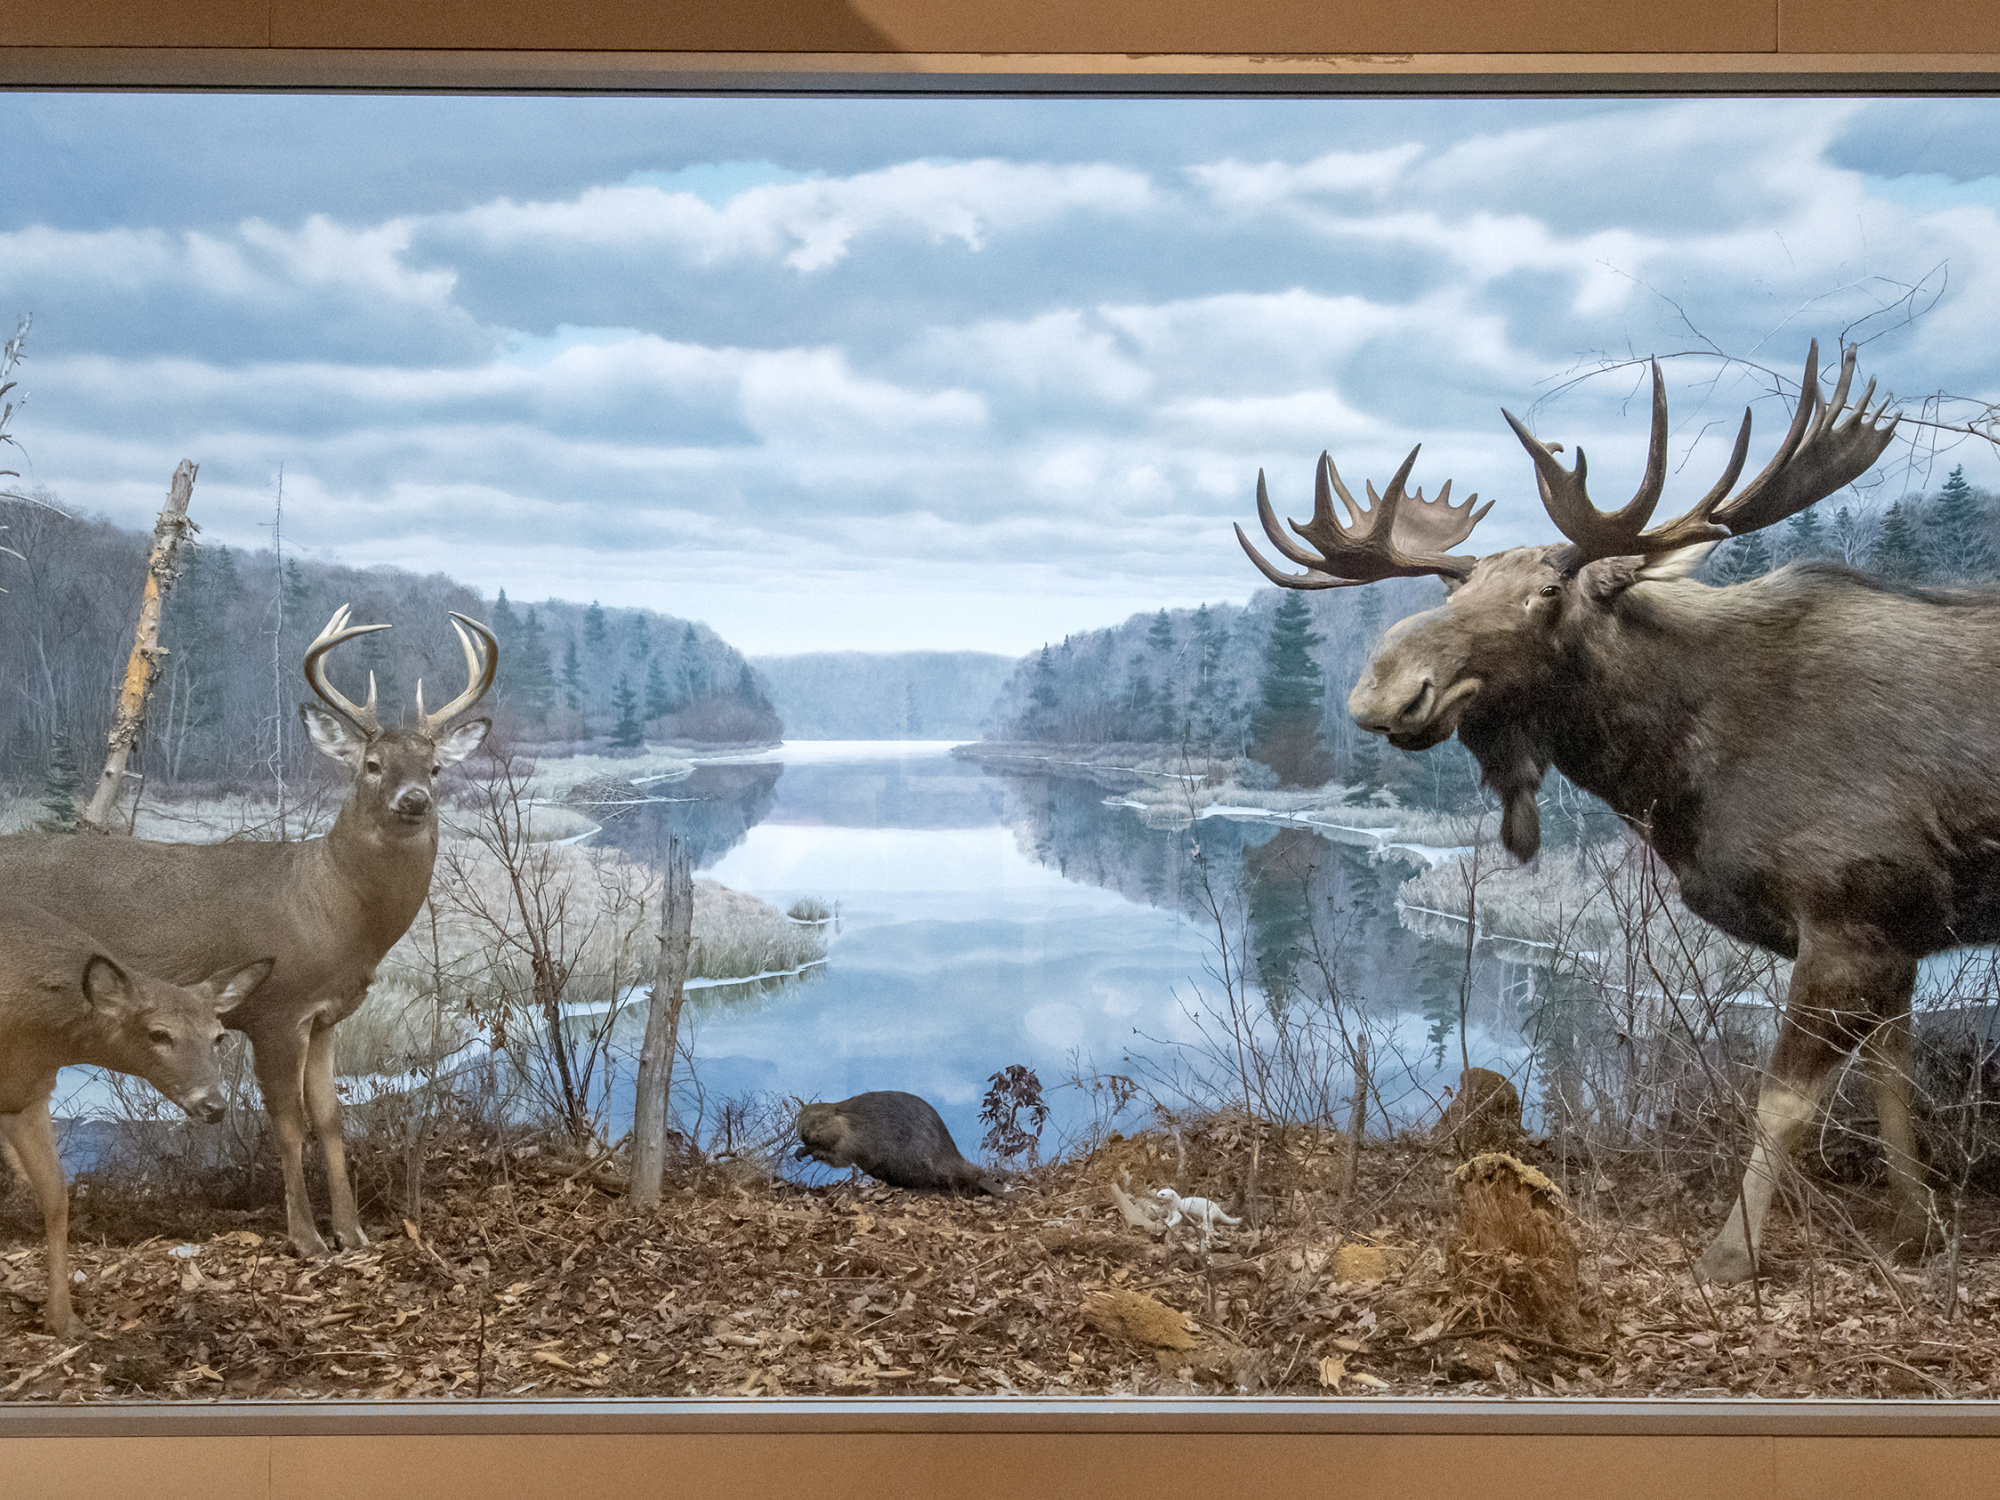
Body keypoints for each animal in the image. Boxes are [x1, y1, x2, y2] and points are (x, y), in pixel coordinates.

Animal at [0, 606, 494, 1257]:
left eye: (434, 768)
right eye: (372, 765)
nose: (414, 799)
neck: (331, 905)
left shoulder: (325, 1016)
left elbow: (331, 1119)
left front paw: (353, 1232)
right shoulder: (277, 1009)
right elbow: (287, 1123)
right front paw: (308, 1239)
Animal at [0, 894, 272, 1334]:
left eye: (218, 1036)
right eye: (159, 1034)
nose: (214, 1106)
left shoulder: (27, 1096)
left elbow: (56, 1196)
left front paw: (64, 1321)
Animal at [1234, 341, 1998, 1284]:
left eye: (1548, 594)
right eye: (1457, 591)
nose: (1384, 687)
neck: (1681, 772)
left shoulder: (1847, 917)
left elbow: (1784, 1102)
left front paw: (1730, 1255)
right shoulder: (1897, 929)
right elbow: (1896, 1080)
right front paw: (1915, 1230)